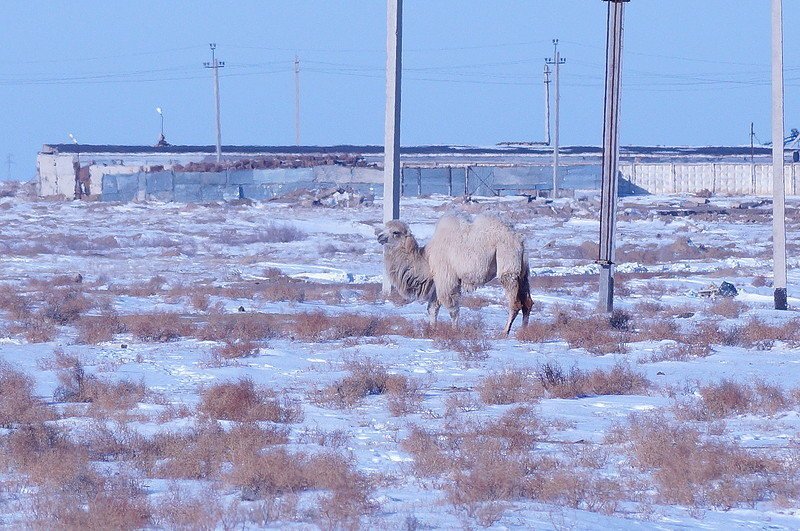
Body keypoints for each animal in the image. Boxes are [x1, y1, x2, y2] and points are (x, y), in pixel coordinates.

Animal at [374, 213, 532, 334]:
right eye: (385, 228)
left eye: (395, 232)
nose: (379, 236)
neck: (426, 259)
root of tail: (519, 240)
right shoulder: (438, 280)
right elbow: (432, 308)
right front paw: (432, 330)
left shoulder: (446, 278)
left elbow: (452, 308)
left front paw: (454, 331)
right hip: (522, 272)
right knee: (527, 302)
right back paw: (523, 331)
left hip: (507, 261)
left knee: (515, 302)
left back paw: (505, 332)